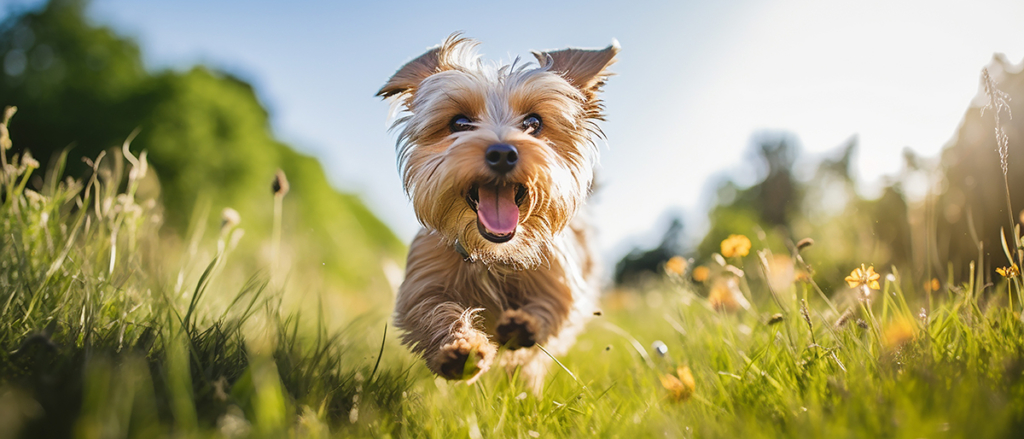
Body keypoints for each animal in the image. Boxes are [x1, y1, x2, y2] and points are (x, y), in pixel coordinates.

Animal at [376, 34, 614, 390]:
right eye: (459, 123)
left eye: (533, 123)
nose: (502, 153)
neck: (494, 255)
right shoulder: (423, 281)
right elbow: (431, 308)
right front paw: (461, 349)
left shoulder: (560, 281)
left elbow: (550, 308)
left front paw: (522, 325)